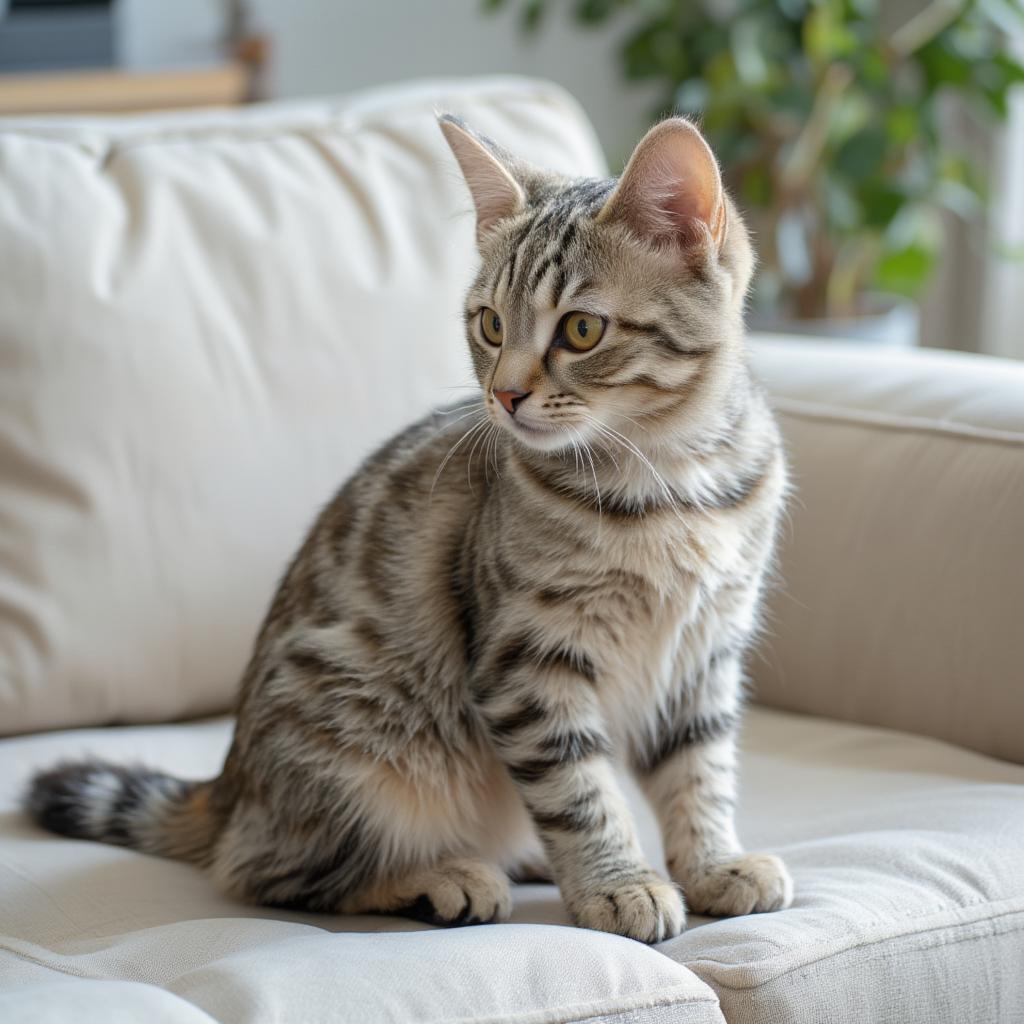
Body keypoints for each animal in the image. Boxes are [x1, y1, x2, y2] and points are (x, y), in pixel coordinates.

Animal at [22, 114, 790, 942]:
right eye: (490, 324)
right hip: (366, 748)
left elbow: (699, 771)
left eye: (582, 330)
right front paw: (618, 883)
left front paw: (713, 863)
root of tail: (229, 786)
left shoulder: (704, 655)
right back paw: (444, 876)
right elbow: (580, 791)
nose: (505, 395)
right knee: (271, 871)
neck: (668, 482)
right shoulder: (528, 662)